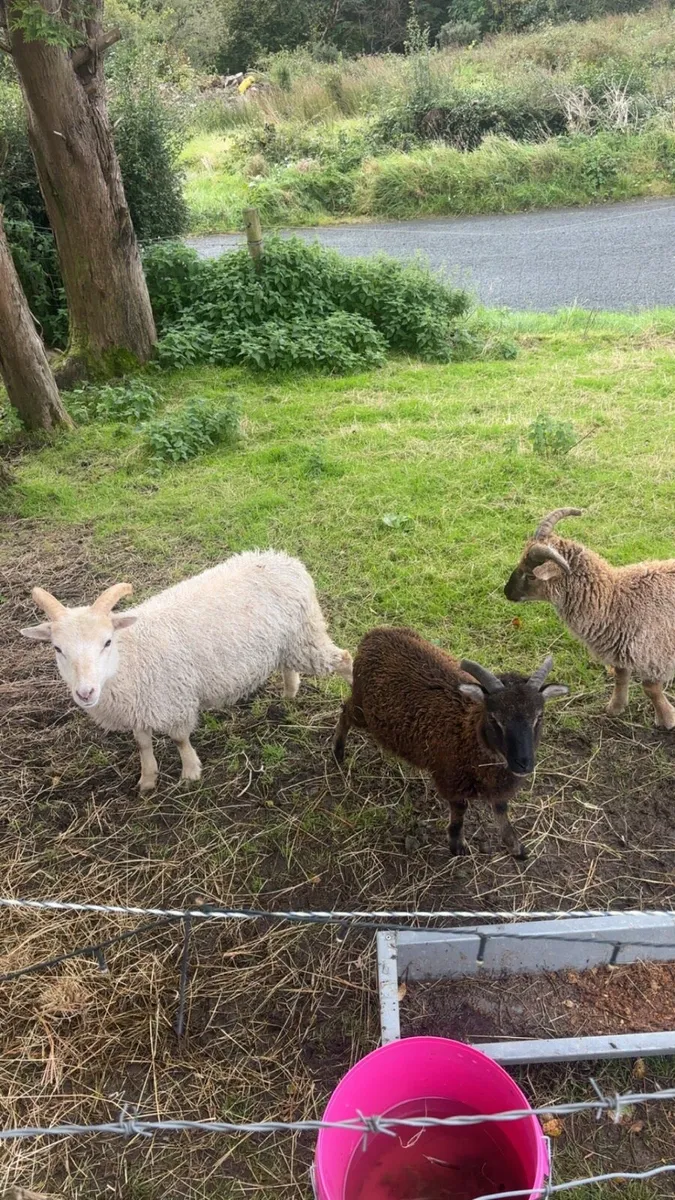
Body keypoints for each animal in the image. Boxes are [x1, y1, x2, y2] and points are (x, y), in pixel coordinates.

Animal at [21, 550, 353, 792]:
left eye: (107, 641)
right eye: (57, 649)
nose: (85, 692)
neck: (131, 657)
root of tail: (287, 561)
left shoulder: (175, 700)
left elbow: (180, 739)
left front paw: (191, 773)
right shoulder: (141, 706)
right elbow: (142, 743)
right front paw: (148, 780)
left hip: (305, 636)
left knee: (345, 659)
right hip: (286, 642)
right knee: (287, 666)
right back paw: (288, 694)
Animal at [332, 626, 567, 859]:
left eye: (539, 716)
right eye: (494, 718)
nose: (523, 763)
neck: (468, 731)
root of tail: (375, 633)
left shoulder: (496, 785)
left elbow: (501, 810)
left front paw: (516, 847)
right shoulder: (450, 778)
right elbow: (460, 809)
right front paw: (457, 843)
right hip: (363, 709)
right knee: (345, 712)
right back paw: (338, 752)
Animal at [504, 507, 675, 730]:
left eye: (531, 575)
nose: (507, 592)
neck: (614, 601)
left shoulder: (654, 655)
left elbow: (650, 689)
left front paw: (667, 719)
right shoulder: (620, 651)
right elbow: (621, 678)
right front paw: (615, 708)